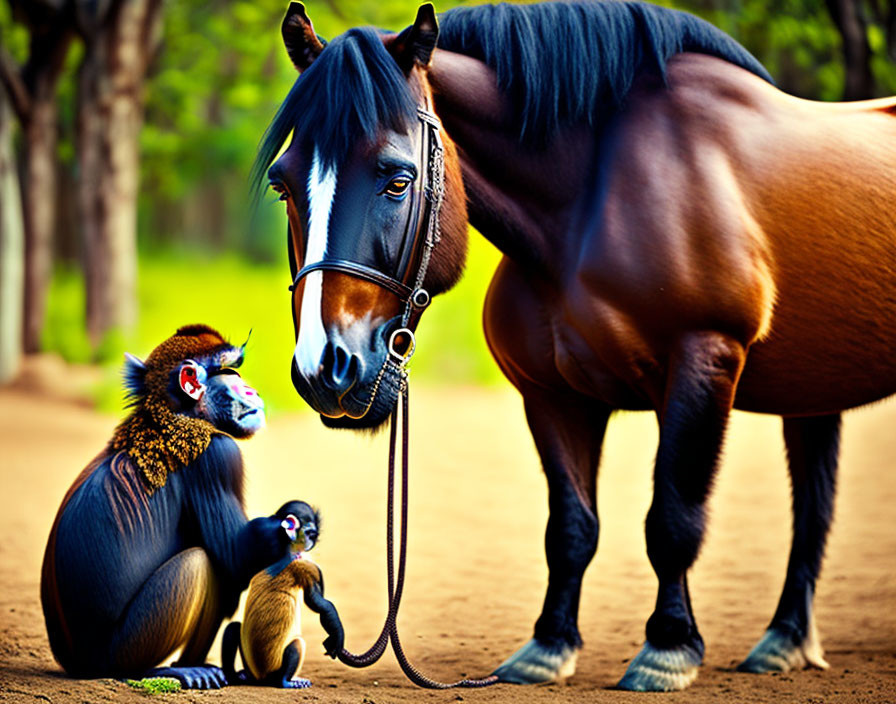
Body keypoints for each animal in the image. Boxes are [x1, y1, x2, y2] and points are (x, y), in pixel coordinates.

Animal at [223, 500, 344, 688]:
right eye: (310, 533)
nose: (312, 542)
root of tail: (260, 677)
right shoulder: (303, 564)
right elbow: (320, 604)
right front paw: (337, 635)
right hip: (277, 668)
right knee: (297, 644)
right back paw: (286, 681)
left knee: (233, 628)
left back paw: (235, 676)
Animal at [252, 1, 896, 692]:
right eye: (283, 186)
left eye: (398, 179)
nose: (324, 369)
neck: (592, 204)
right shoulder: (552, 394)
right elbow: (570, 527)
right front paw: (548, 646)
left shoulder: (704, 363)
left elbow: (673, 517)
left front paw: (668, 648)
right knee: (813, 510)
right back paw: (785, 639)